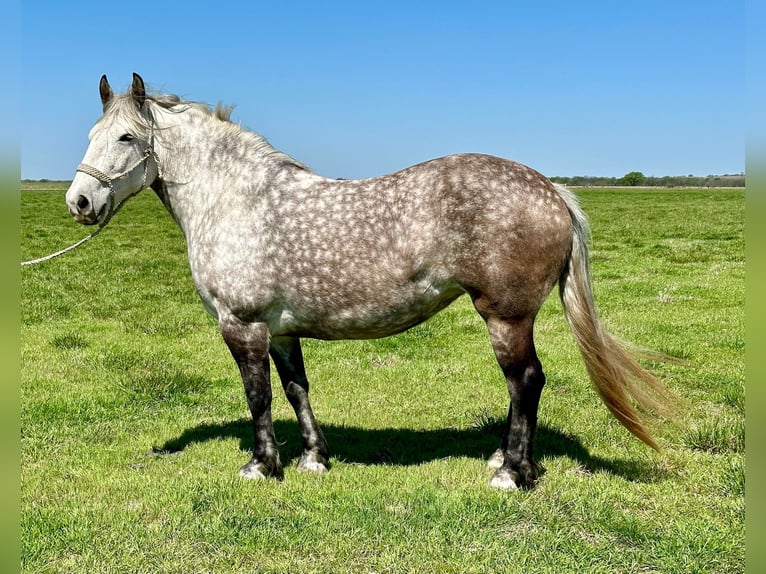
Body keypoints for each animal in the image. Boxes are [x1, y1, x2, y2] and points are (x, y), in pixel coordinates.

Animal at [66, 74, 672, 492]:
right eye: (92, 134)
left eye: (126, 137)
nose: (80, 202)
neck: (235, 199)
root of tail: (552, 190)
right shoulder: (280, 331)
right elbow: (296, 389)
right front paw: (313, 458)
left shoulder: (243, 327)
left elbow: (258, 396)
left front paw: (261, 466)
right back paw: (503, 459)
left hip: (507, 316)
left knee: (525, 381)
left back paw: (511, 473)